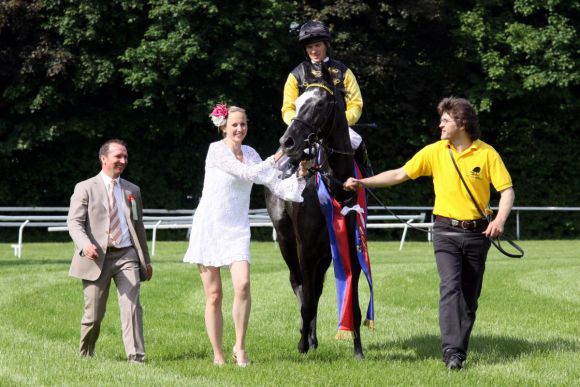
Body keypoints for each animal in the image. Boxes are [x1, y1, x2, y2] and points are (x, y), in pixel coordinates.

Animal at [266, 64, 364, 360]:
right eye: (298, 102)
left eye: (320, 104)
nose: (287, 141)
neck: (335, 185)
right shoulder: (304, 246)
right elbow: (306, 298)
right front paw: (302, 345)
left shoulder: (348, 246)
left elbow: (352, 301)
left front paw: (358, 350)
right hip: (286, 242)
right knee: (299, 285)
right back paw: (306, 338)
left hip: (323, 253)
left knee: (316, 289)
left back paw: (313, 337)